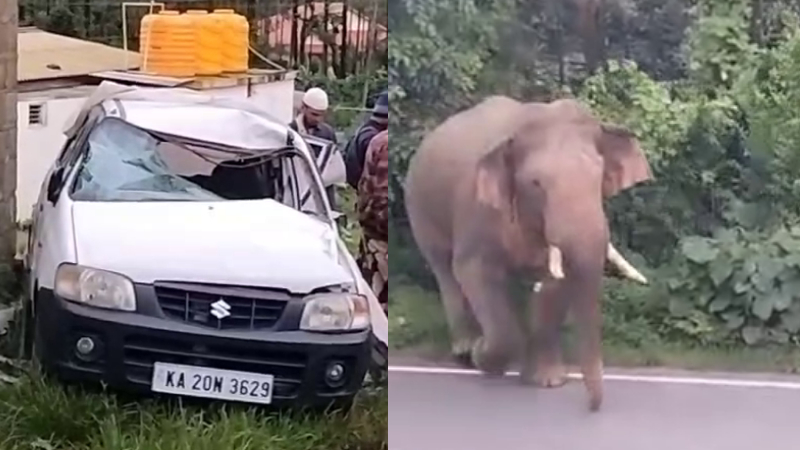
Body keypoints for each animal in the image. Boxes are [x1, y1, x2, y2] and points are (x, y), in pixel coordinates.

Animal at [403, 95, 653, 412]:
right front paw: (482, 355)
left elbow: (554, 286)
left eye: (599, 178)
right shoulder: (476, 212)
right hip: (419, 207)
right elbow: (474, 272)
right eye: (536, 183)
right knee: (445, 269)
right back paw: (464, 350)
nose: (592, 407)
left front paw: (548, 381)